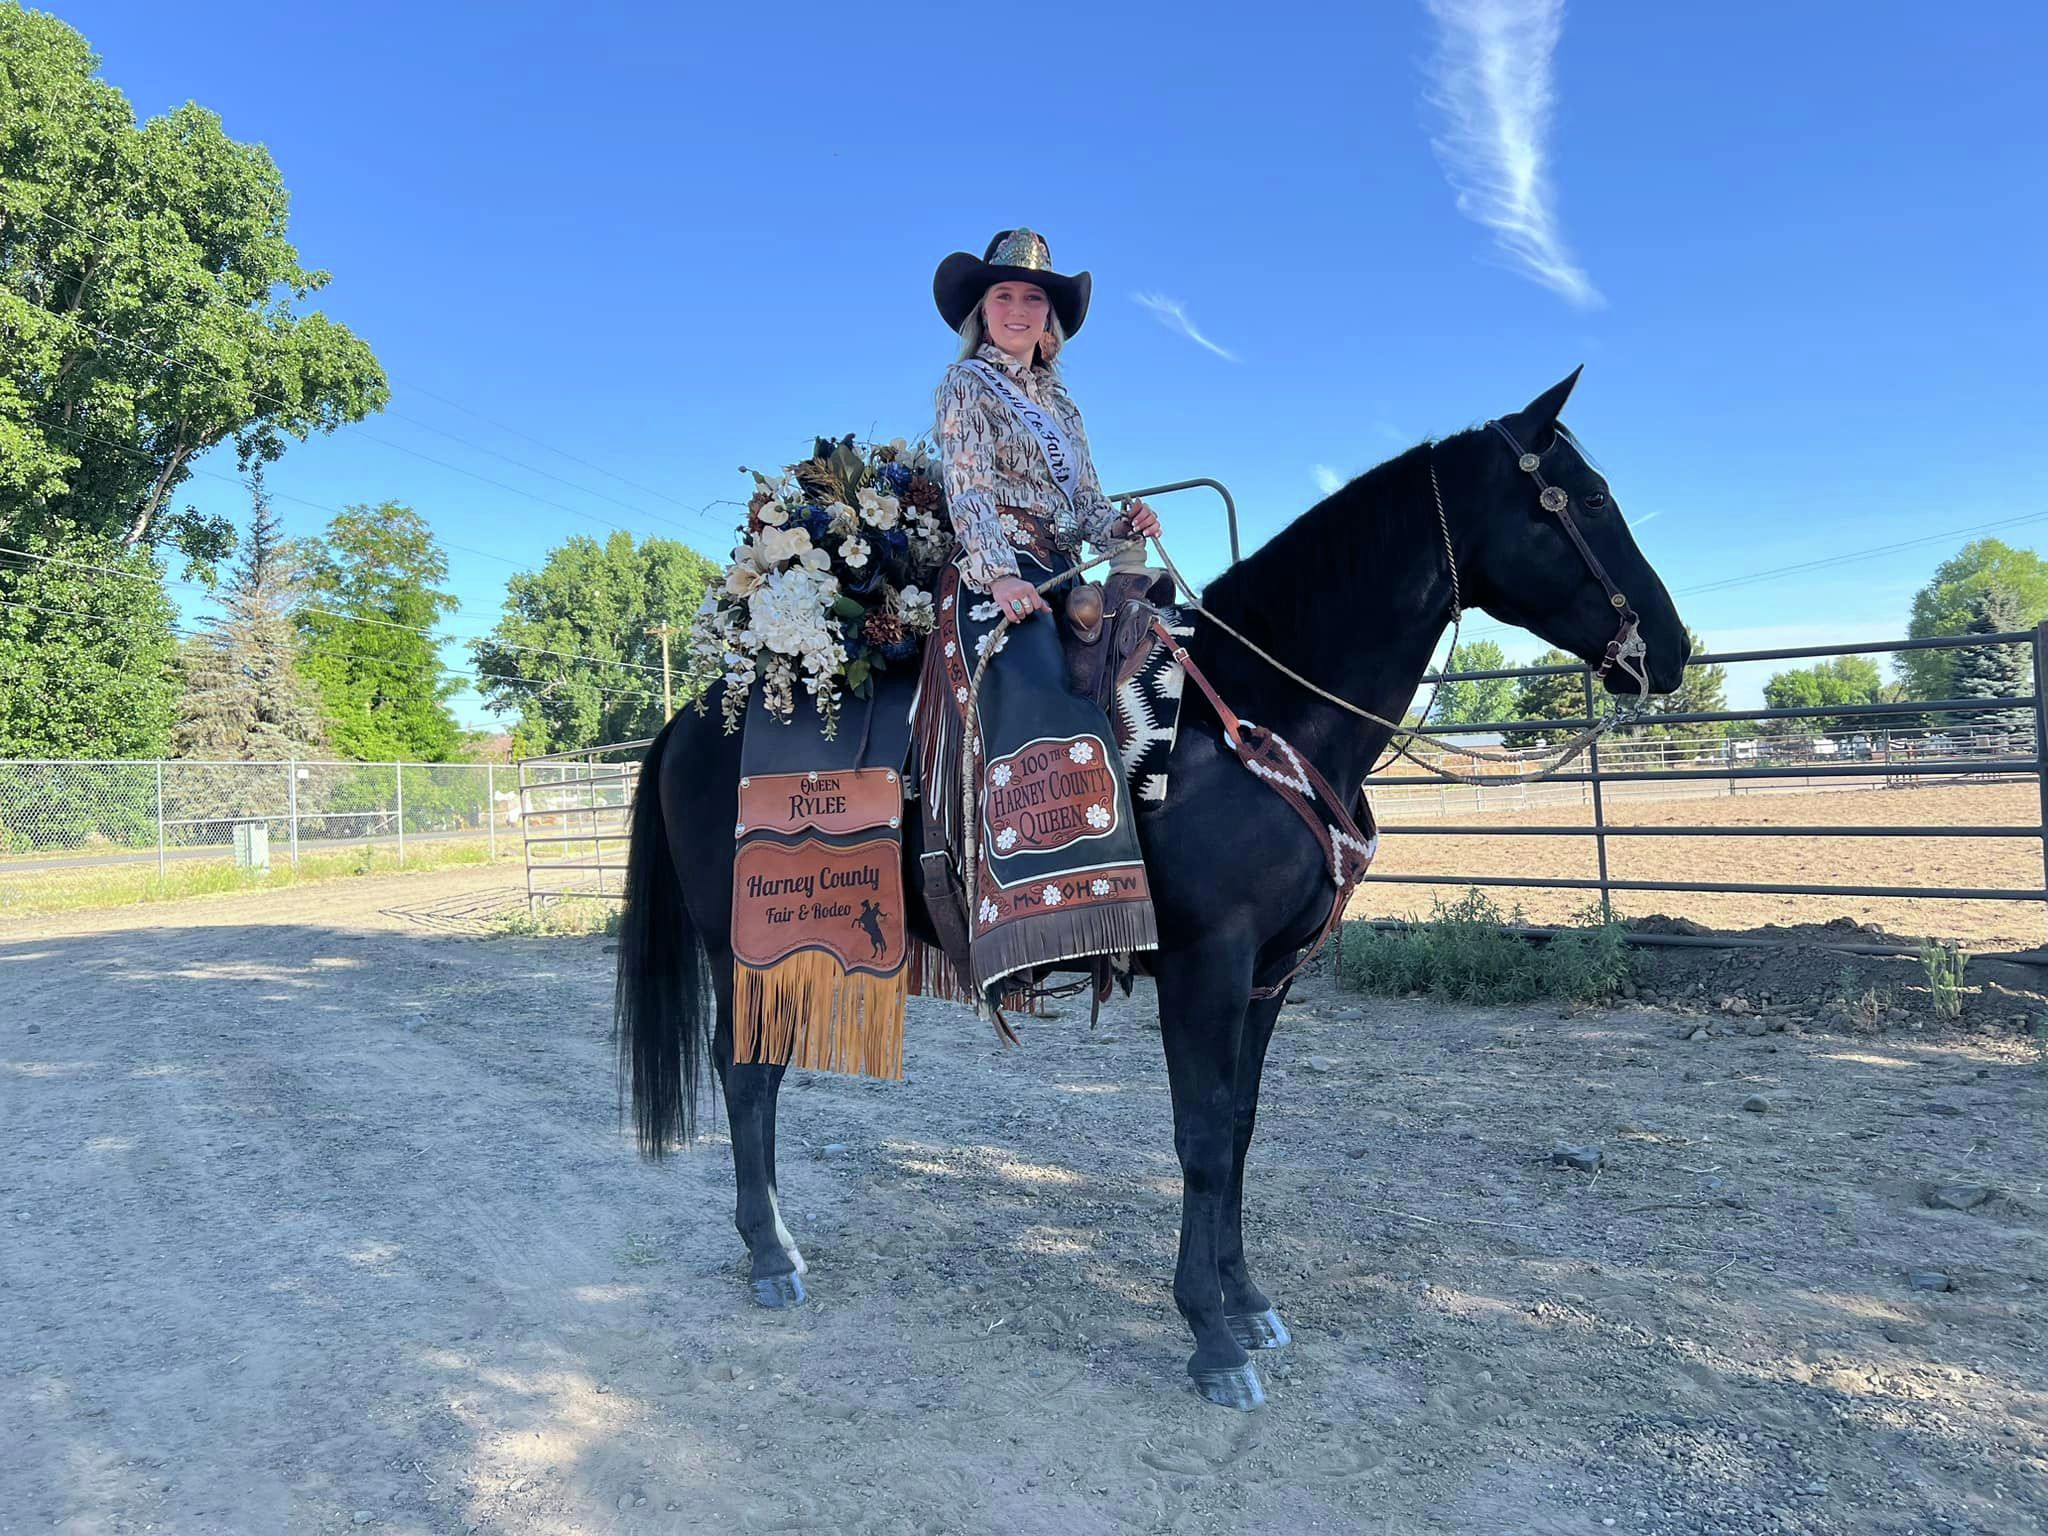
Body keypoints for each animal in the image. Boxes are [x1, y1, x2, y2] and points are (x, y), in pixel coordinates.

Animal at [614, 370, 1687, 1409]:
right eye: (1590, 499)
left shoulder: (1268, 975)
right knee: (744, 1075)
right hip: (738, 942)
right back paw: (770, 1257)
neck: (1250, 716)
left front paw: (1247, 1300)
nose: (1670, 649)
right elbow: (1201, 1137)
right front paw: (1212, 1338)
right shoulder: (1206, 965)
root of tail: (691, 719)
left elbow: (1241, 1130)